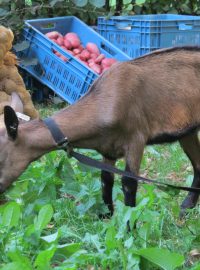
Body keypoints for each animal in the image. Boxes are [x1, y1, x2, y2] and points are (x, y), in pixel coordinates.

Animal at [0, 46, 200, 215]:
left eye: (1, 158)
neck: (104, 102)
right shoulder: (108, 148)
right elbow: (106, 179)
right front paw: (107, 217)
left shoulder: (136, 138)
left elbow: (129, 183)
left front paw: (130, 227)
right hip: (187, 131)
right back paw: (185, 208)